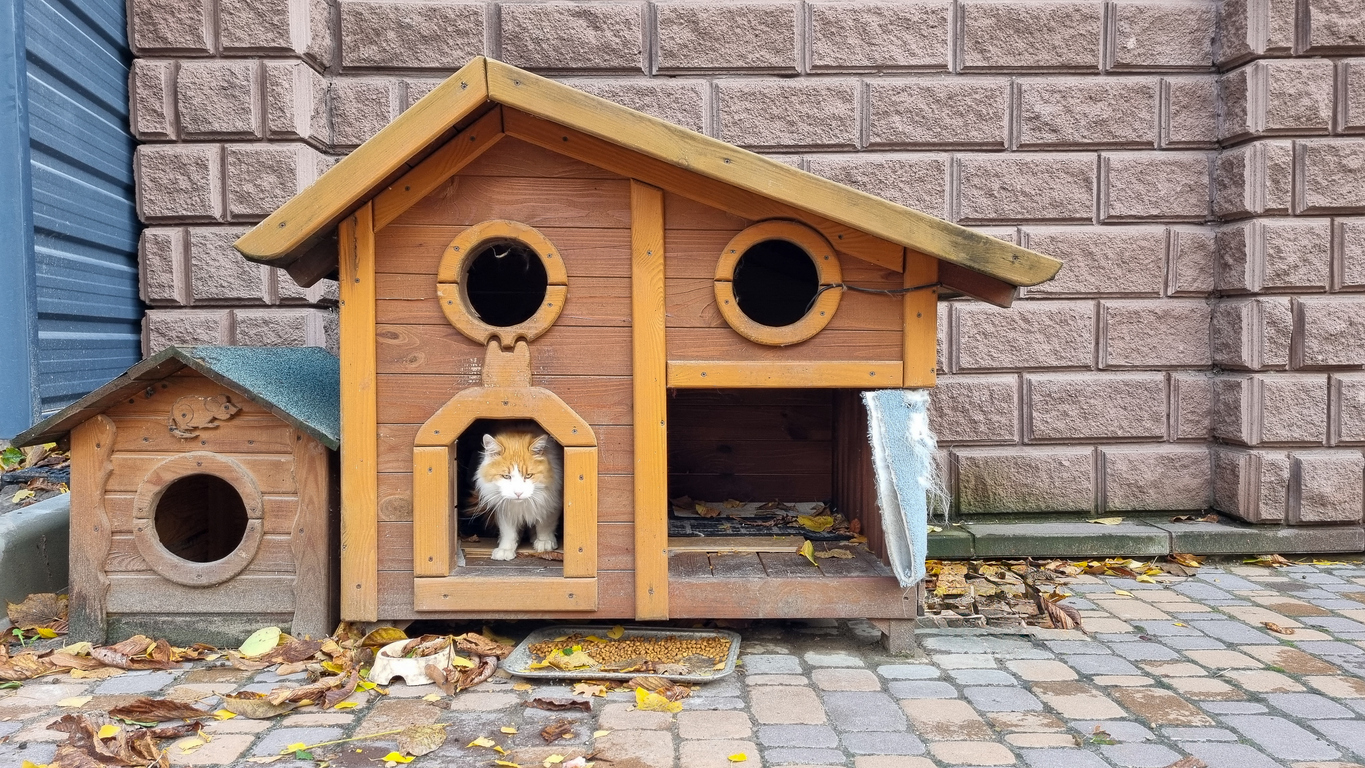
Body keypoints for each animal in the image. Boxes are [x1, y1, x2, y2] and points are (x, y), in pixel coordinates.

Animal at [472, 425, 562, 559]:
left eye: (528, 475)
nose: (518, 493)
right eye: (506, 476)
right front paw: (505, 549)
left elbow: (545, 525)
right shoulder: (505, 510)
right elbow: (508, 532)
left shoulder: (550, 503)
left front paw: (544, 542)